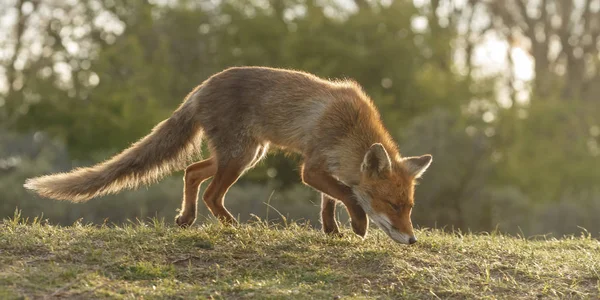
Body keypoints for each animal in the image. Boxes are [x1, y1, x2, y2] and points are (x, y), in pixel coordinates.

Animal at [24, 67, 432, 245]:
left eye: (410, 207)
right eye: (393, 206)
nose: (413, 241)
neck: (350, 130)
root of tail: (202, 86)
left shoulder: (326, 169)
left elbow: (329, 202)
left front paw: (332, 231)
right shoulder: (312, 167)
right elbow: (346, 194)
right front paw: (358, 225)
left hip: (243, 155)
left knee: (192, 172)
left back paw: (187, 219)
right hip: (241, 156)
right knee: (210, 192)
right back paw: (232, 226)